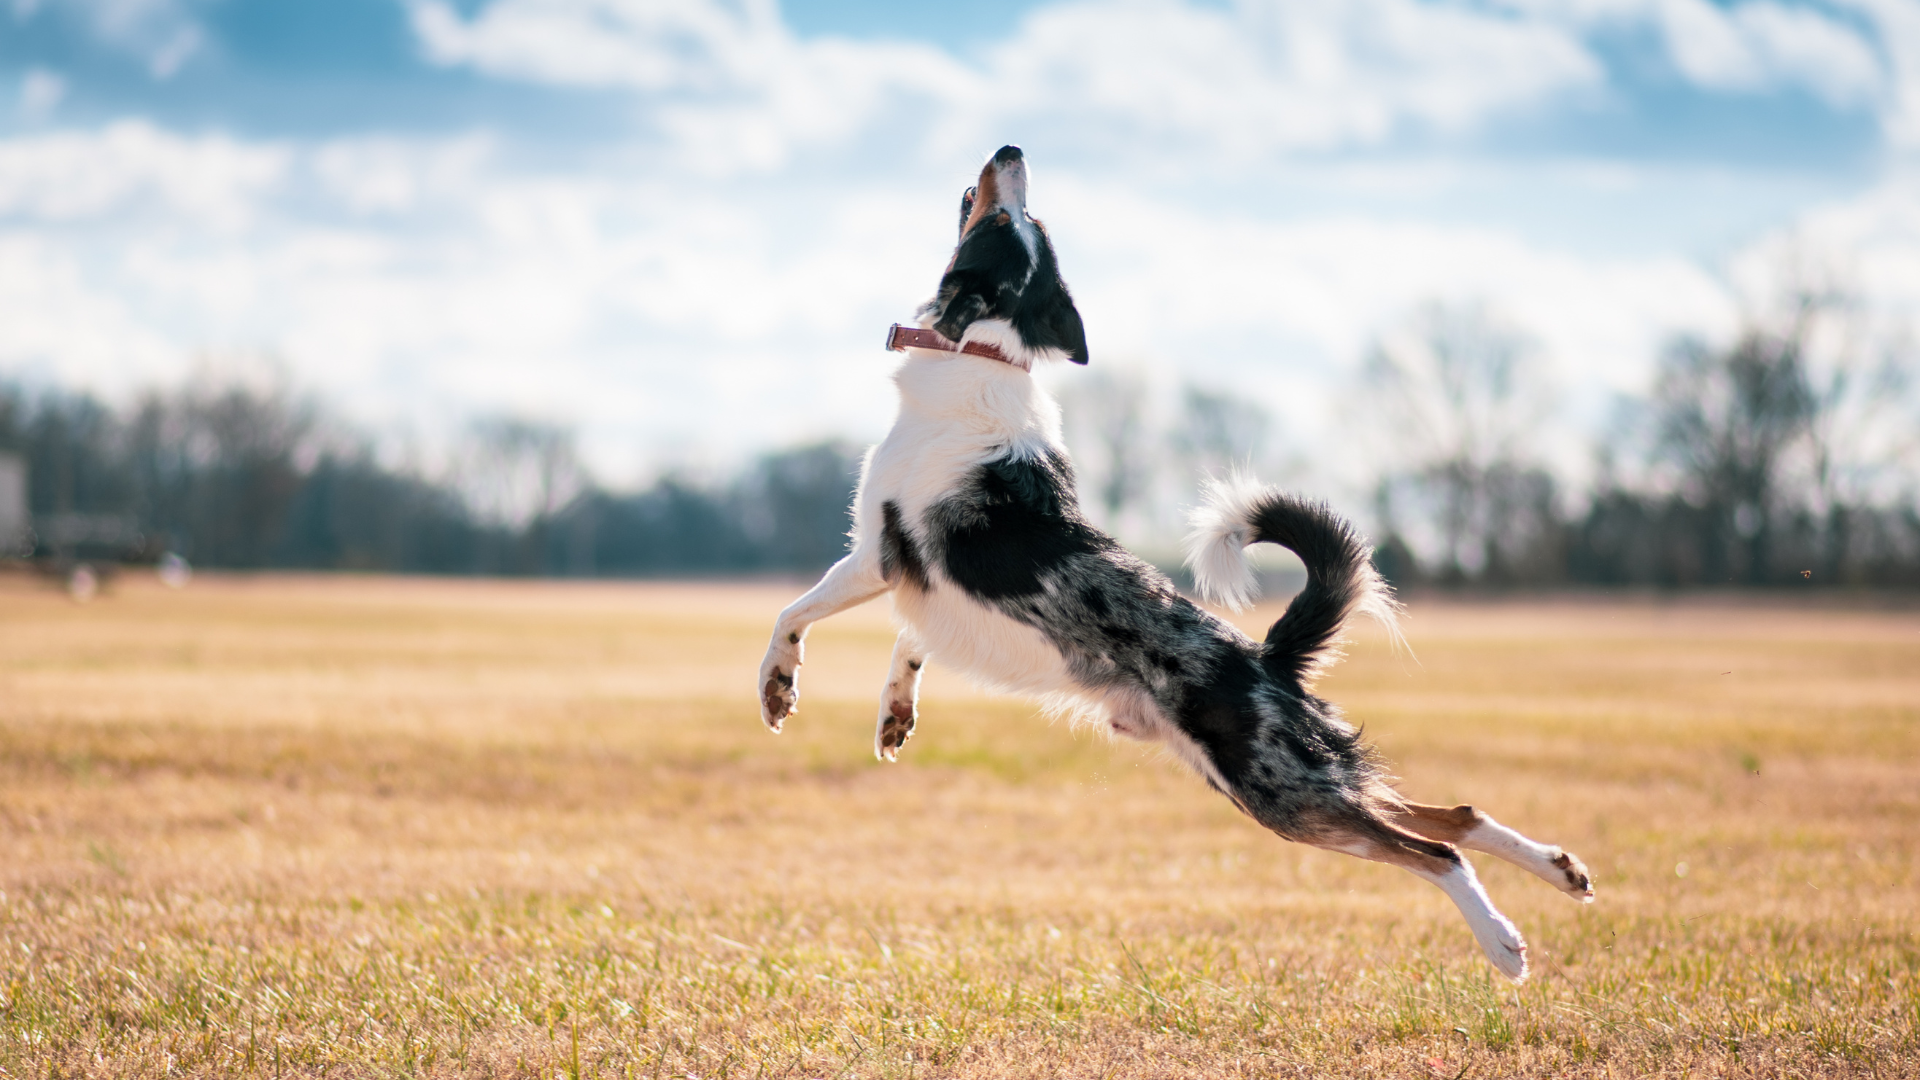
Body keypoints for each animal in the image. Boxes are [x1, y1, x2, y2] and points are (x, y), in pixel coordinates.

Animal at [756, 143, 1597, 976]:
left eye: (1008, 220)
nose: (1011, 150)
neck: (984, 346)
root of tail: (1267, 658)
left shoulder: (877, 554)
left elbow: (794, 613)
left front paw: (778, 688)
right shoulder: (929, 591)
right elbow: (911, 642)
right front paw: (895, 714)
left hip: (1279, 793)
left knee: (1434, 851)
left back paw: (1504, 942)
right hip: (1288, 778)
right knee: (1453, 813)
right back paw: (1560, 869)